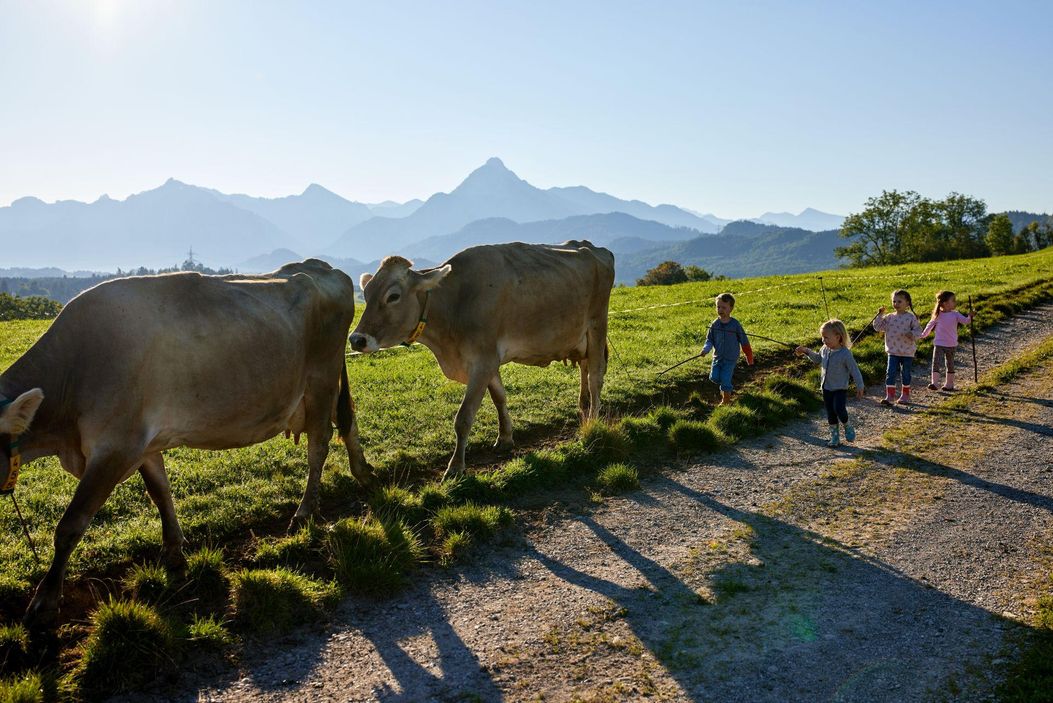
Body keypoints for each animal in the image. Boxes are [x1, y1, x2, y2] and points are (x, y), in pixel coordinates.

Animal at [0, 259, 374, 629]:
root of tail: (321, 266)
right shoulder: (145, 445)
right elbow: (160, 493)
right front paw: (174, 552)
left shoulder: (115, 448)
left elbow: (70, 525)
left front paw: (46, 599)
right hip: (323, 386)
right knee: (348, 420)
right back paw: (364, 473)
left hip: (320, 380)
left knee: (319, 445)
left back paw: (305, 510)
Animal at [348, 241, 615, 477]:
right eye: (367, 294)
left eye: (393, 296)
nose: (356, 339)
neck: (454, 304)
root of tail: (593, 248)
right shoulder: (488, 360)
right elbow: (499, 397)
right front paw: (505, 437)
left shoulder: (483, 361)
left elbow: (463, 418)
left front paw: (455, 467)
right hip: (579, 338)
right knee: (585, 369)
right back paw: (583, 405)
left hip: (597, 324)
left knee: (595, 376)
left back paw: (593, 420)